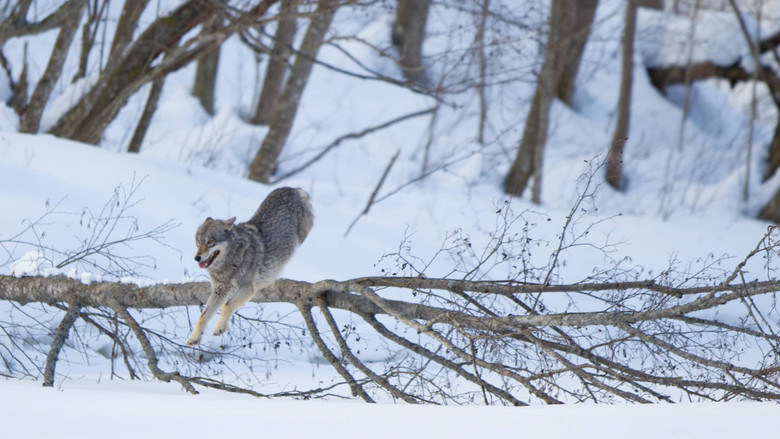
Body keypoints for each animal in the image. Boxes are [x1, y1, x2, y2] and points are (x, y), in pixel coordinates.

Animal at [186, 187, 313, 346]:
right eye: (198, 241)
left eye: (210, 242)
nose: (197, 258)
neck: (227, 265)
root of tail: (290, 188)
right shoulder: (219, 291)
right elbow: (203, 315)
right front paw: (194, 337)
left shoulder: (247, 288)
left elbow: (227, 305)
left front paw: (219, 328)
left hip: (302, 235)